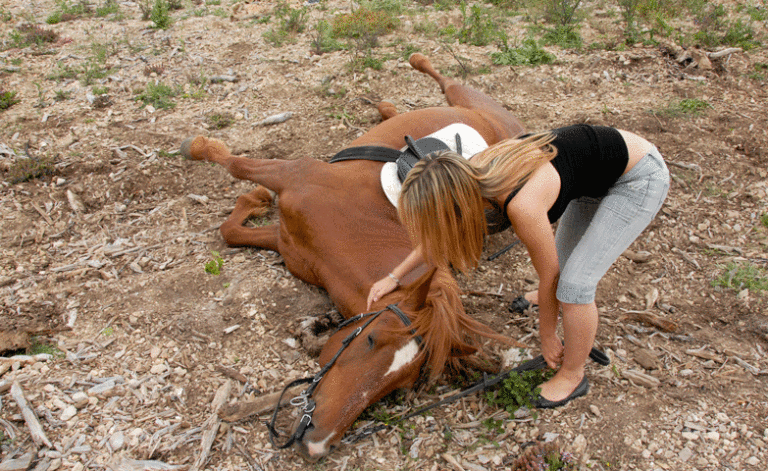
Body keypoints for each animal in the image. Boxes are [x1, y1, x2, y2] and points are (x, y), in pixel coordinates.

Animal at [181, 53, 527, 461]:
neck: (358, 228)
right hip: (467, 97)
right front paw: (202, 149)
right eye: (371, 339)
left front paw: (252, 199)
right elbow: (234, 173)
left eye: (398, 386)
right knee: (445, 78)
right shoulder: (293, 178)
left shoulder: (288, 243)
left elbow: (232, 228)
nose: (316, 443)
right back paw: (405, 79)